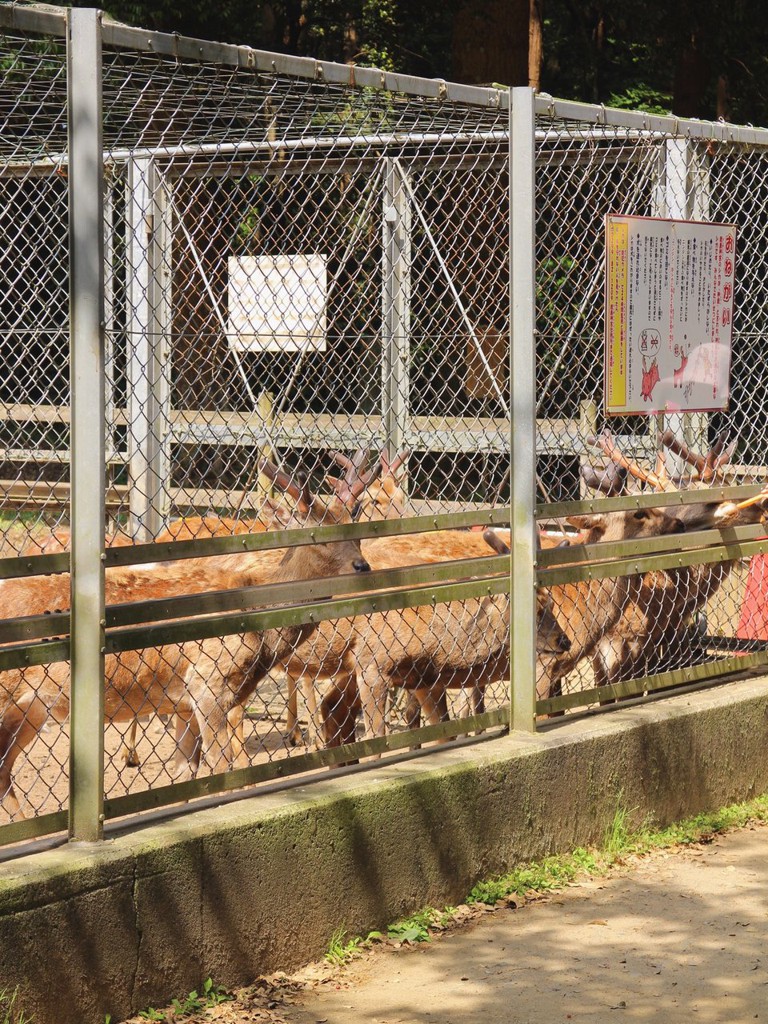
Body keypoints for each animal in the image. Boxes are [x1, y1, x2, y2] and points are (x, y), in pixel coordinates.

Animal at [0, 460, 372, 819]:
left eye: (356, 529)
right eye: (318, 535)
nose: (363, 566)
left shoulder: (183, 702)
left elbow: (183, 778)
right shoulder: (208, 684)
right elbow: (223, 771)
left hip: (32, 708)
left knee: (4, 768)